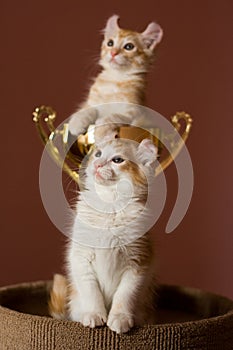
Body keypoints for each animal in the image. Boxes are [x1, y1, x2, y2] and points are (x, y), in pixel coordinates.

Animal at [49, 139, 158, 334]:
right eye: (98, 154)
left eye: (117, 160)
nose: (97, 164)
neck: (110, 204)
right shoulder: (80, 258)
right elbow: (91, 291)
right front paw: (94, 314)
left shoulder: (139, 262)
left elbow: (125, 294)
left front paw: (119, 317)